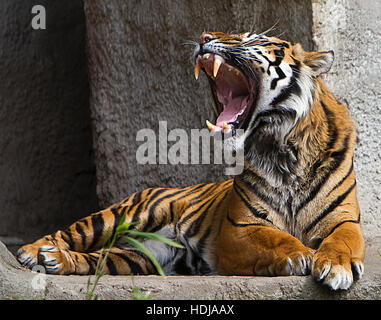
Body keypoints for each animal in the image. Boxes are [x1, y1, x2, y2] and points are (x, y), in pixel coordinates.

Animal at [16, 30, 364, 290]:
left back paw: (57, 260)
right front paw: (302, 254)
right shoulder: (240, 228)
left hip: (141, 256)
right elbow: (276, 238)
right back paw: (35, 253)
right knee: (67, 233)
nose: (203, 36)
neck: (282, 150)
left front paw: (337, 265)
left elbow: (344, 241)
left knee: (99, 259)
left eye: (253, 38)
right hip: (123, 215)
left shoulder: (344, 219)